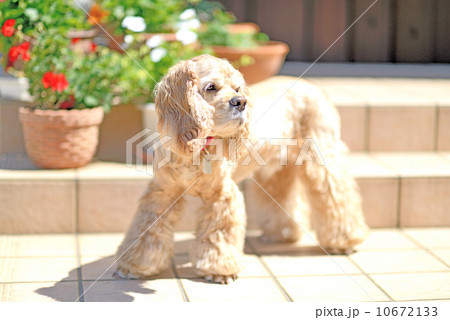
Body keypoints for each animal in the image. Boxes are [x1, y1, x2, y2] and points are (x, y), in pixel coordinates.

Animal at [114, 53, 368, 284]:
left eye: (237, 88)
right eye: (211, 87)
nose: (241, 102)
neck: (199, 148)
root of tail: (313, 86)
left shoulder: (222, 194)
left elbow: (218, 233)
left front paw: (219, 270)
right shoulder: (162, 192)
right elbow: (146, 229)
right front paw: (134, 265)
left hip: (322, 157)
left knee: (338, 196)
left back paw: (345, 240)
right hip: (276, 170)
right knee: (282, 196)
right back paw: (282, 234)